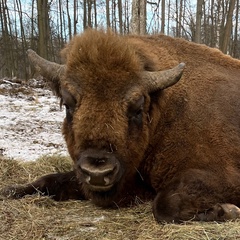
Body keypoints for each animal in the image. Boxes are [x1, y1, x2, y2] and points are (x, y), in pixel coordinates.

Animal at [1, 28, 240, 223]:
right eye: (68, 105)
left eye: (137, 108)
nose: (97, 172)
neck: (164, 111)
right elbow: (48, 180)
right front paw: (10, 190)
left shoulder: (223, 176)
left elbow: (165, 205)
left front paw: (228, 211)